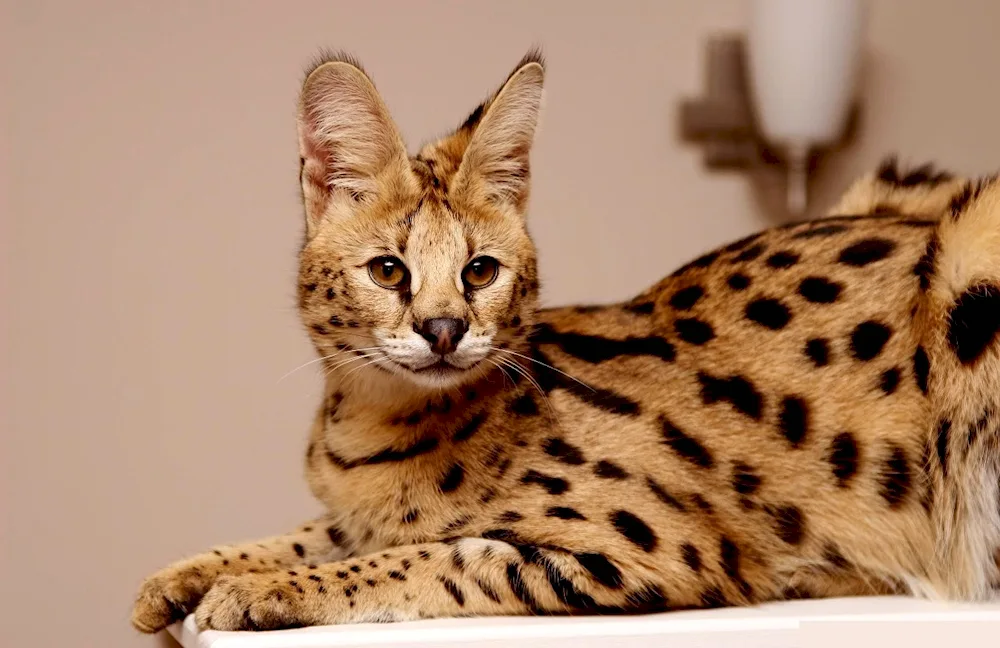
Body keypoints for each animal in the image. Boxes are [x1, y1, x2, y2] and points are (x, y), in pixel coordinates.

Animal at [131, 52, 1000, 632]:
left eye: (479, 271)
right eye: (388, 270)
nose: (443, 329)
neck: (364, 423)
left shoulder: (657, 546)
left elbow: (437, 555)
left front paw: (269, 592)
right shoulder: (347, 512)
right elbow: (305, 533)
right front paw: (183, 576)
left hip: (971, 252)